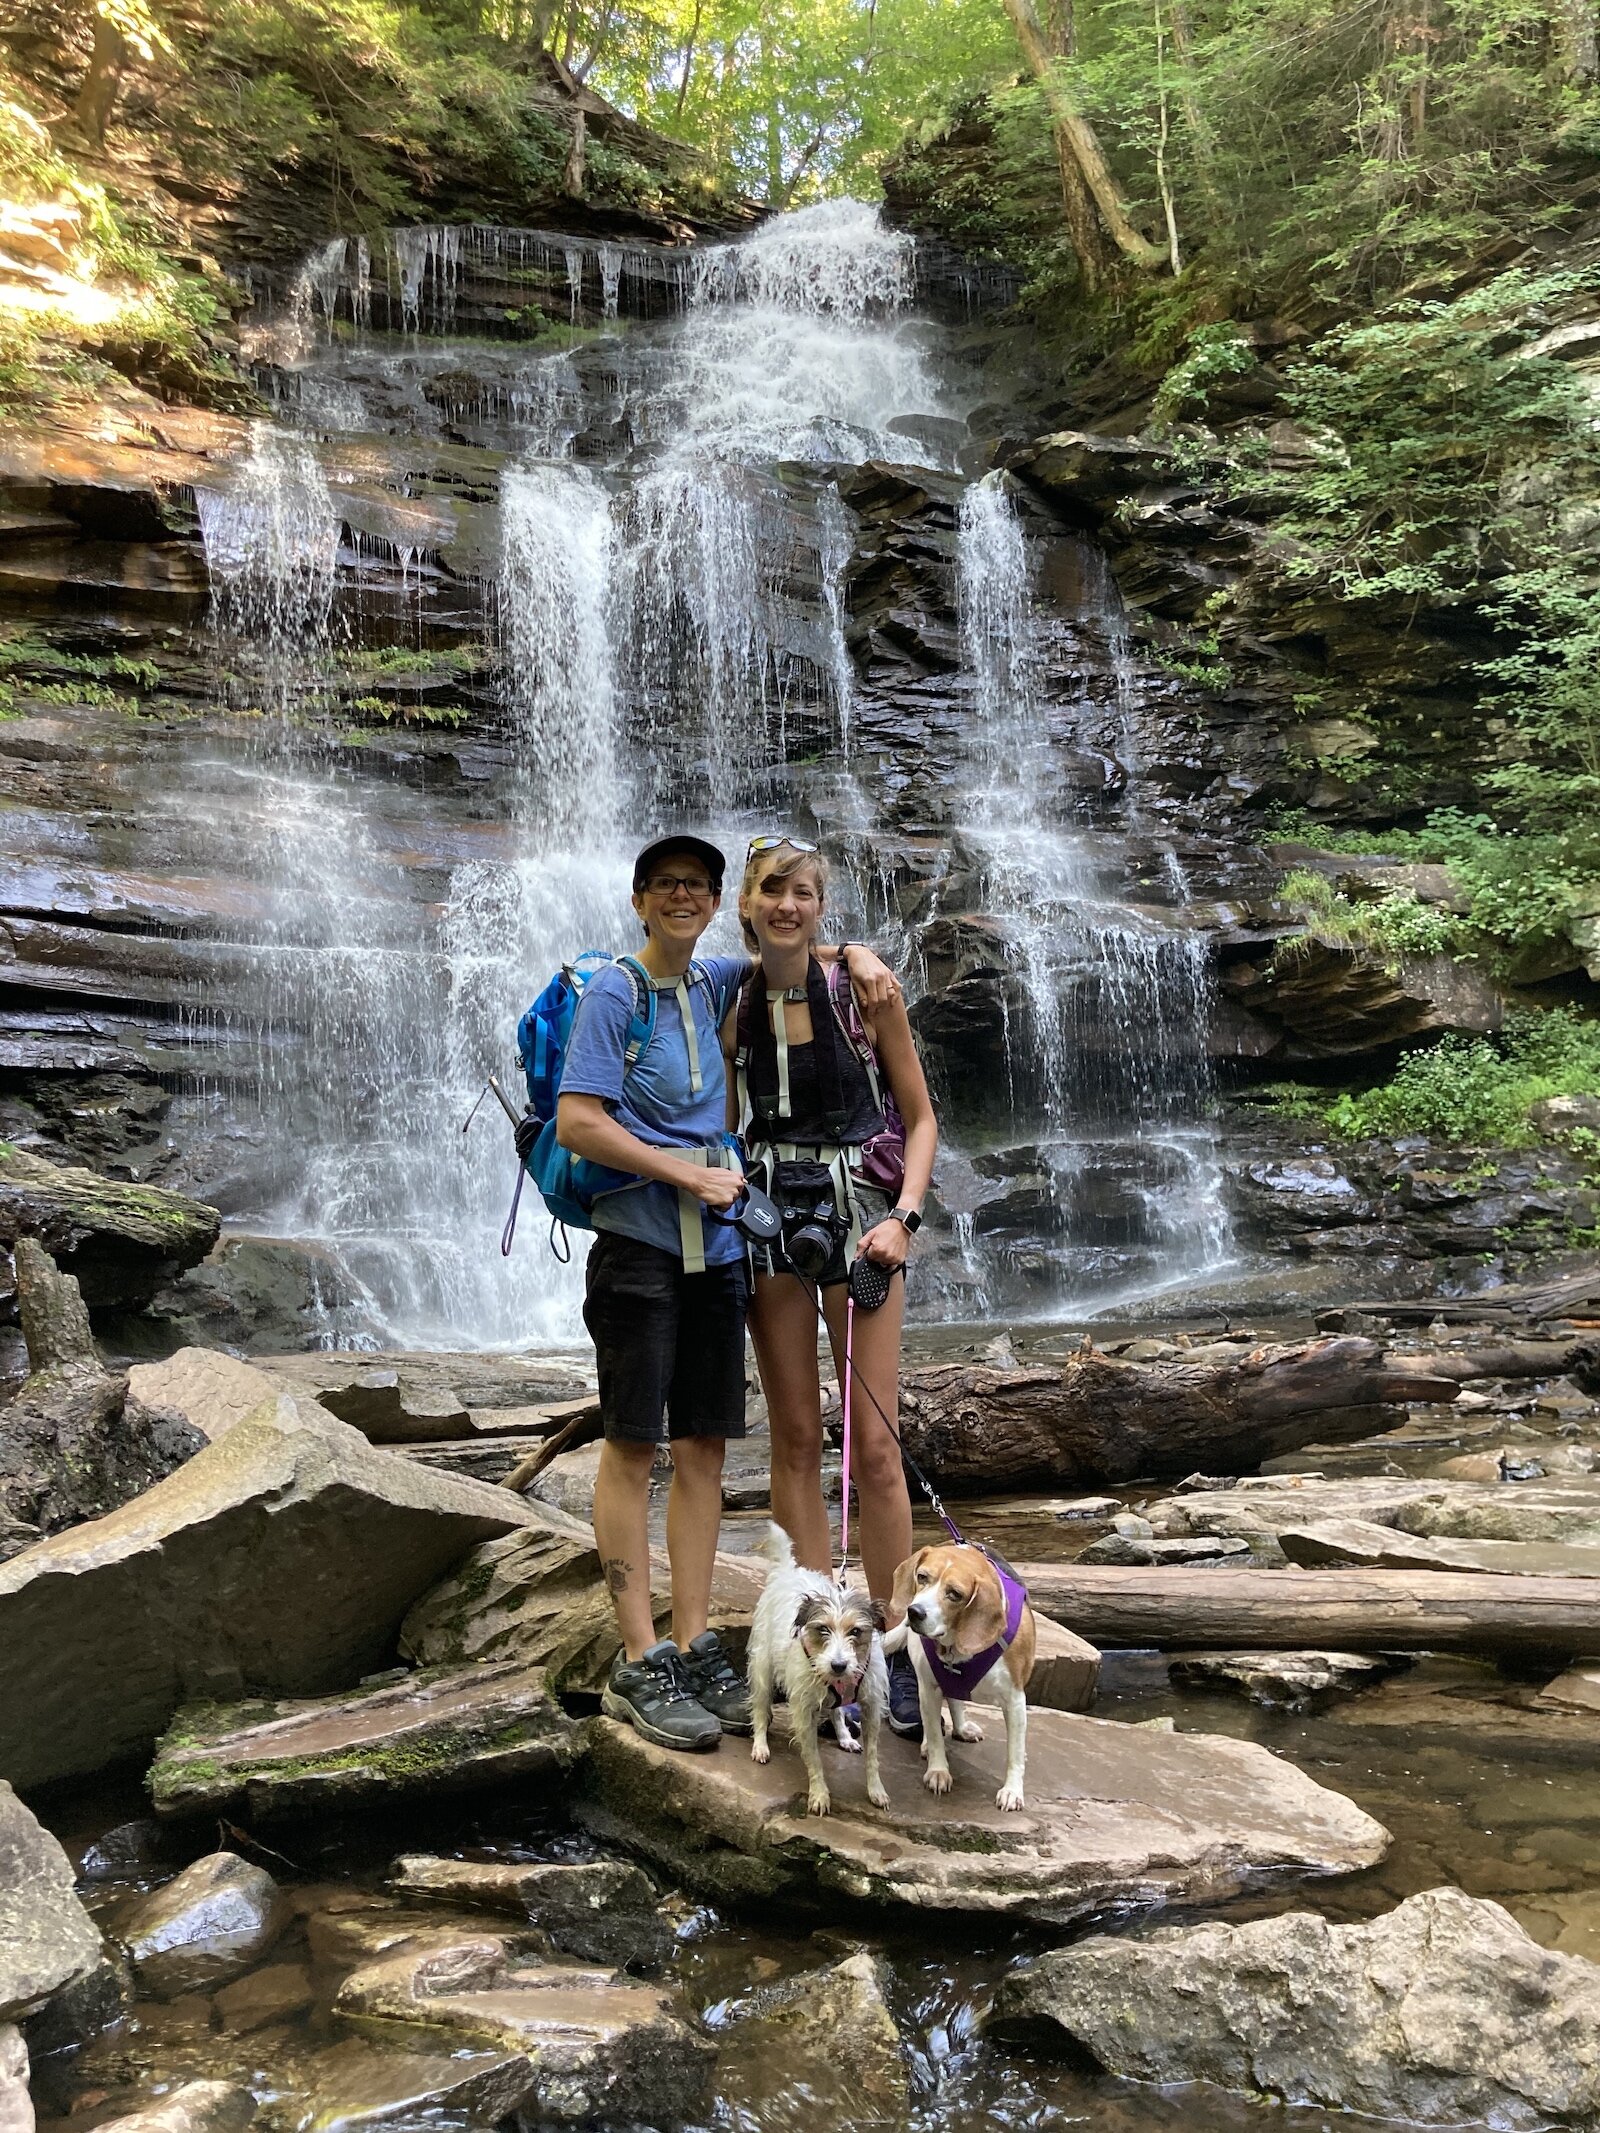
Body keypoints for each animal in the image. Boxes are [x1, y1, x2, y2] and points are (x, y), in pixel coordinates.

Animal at [750, 1527, 891, 1808]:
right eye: (822, 1629)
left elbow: (872, 1757)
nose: (838, 1666)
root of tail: (787, 1570)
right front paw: (819, 1794)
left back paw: (845, 1737)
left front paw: (875, 1790)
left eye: (856, 1631)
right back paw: (760, 1745)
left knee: (837, 1711)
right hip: (762, 1669)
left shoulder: (871, 1706)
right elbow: (813, 1758)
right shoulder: (804, 1711)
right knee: (760, 1708)